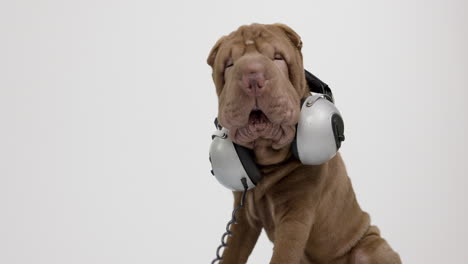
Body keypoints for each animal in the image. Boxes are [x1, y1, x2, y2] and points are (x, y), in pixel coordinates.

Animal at [208, 23, 402, 264]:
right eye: (229, 64)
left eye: (278, 58)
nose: (252, 75)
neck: (267, 163)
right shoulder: (243, 215)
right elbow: (231, 251)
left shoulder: (296, 215)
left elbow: (283, 254)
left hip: (373, 246)